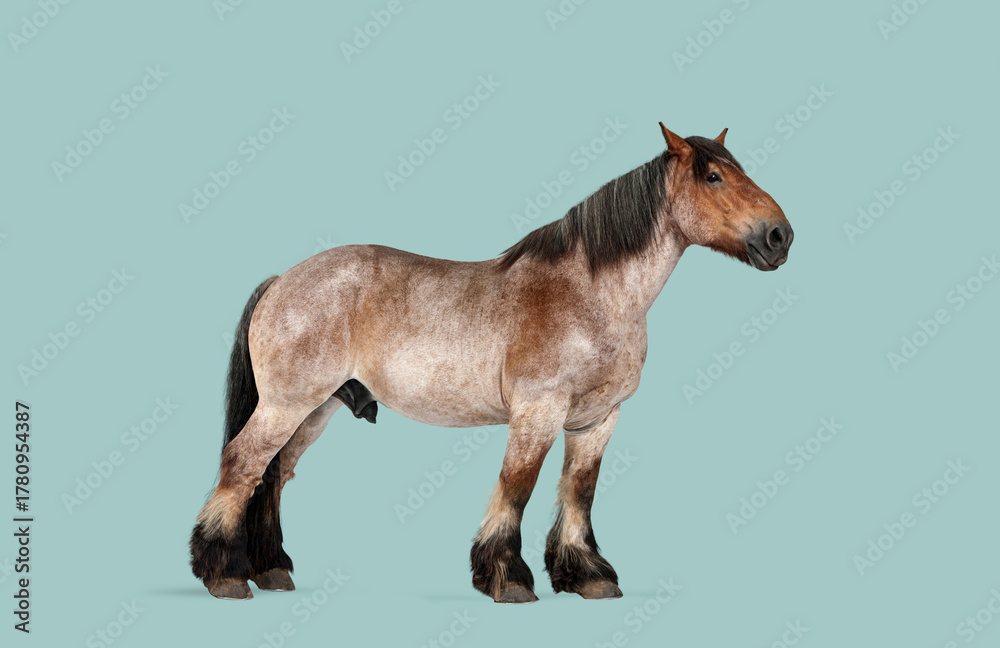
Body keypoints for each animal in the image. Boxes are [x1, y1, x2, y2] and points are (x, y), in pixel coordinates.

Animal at [189, 123, 793, 602]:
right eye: (712, 177)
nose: (780, 236)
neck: (592, 294)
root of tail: (282, 280)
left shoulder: (597, 421)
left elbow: (580, 492)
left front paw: (588, 577)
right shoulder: (537, 413)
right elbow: (517, 488)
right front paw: (509, 579)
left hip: (314, 411)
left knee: (272, 474)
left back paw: (271, 570)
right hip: (287, 404)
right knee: (242, 465)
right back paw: (225, 576)